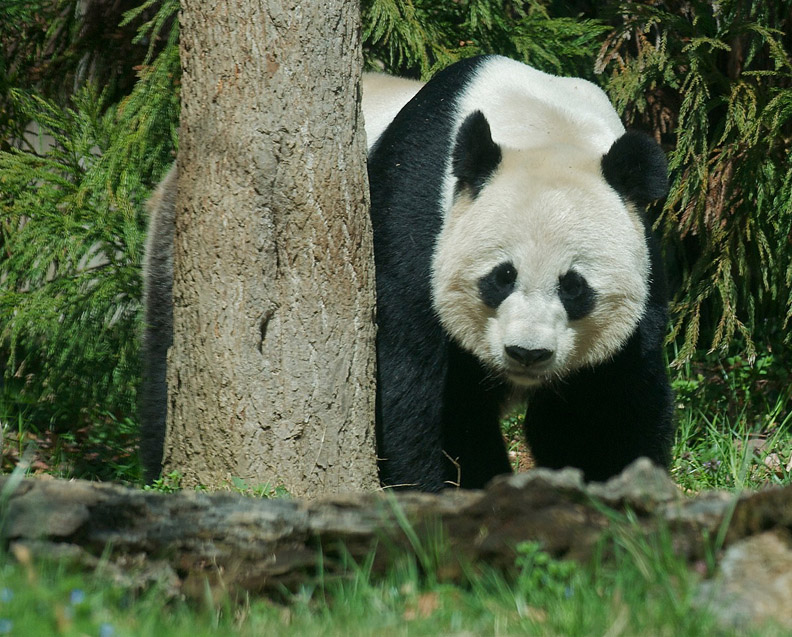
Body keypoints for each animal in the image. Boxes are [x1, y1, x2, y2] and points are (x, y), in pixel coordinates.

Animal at [368, 54, 674, 491]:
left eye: (574, 287)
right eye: (502, 277)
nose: (527, 353)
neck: (547, 131)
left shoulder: (640, 259)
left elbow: (606, 411)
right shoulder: (414, 225)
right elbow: (422, 391)